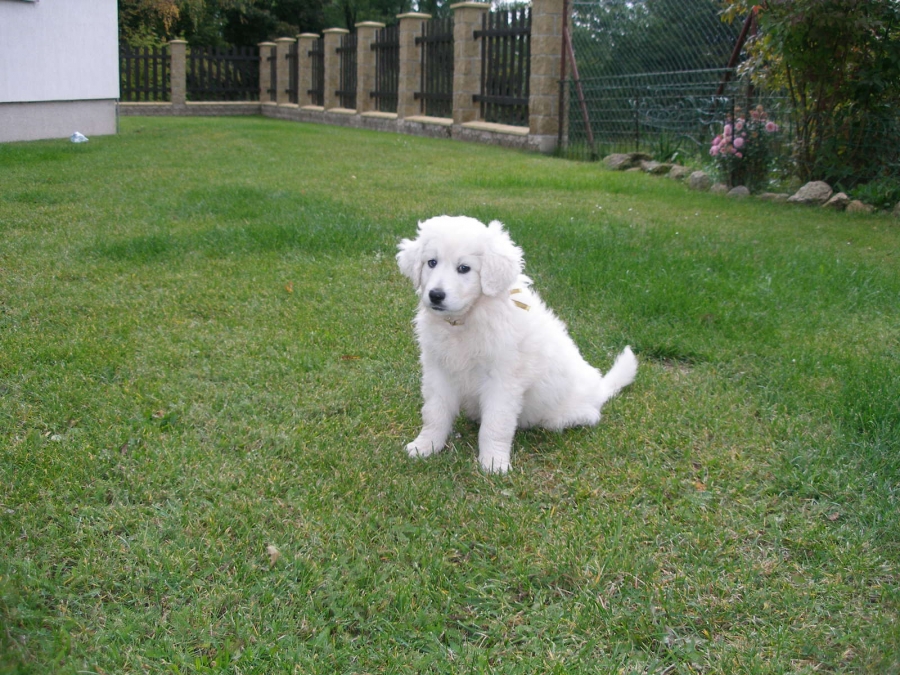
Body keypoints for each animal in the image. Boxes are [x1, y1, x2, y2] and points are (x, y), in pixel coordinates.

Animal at [396, 215, 638, 473]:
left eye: (464, 268)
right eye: (431, 262)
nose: (436, 295)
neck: (466, 319)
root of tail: (599, 391)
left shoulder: (503, 379)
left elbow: (496, 424)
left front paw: (493, 463)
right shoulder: (438, 370)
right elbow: (434, 412)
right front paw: (425, 446)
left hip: (561, 414)